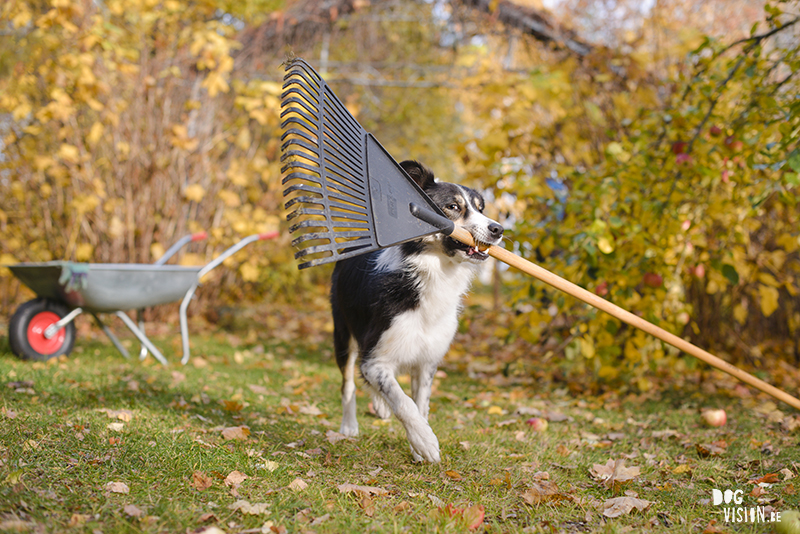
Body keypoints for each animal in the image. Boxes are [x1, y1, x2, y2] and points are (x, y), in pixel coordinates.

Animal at [328, 160, 504, 464]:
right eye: (452, 207)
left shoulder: (427, 360)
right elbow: (403, 401)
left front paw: (418, 446)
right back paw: (349, 425)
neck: (434, 274)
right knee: (348, 381)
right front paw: (425, 442)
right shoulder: (377, 356)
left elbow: (420, 404)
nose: (498, 229)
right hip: (344, 335)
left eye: (480, 208)